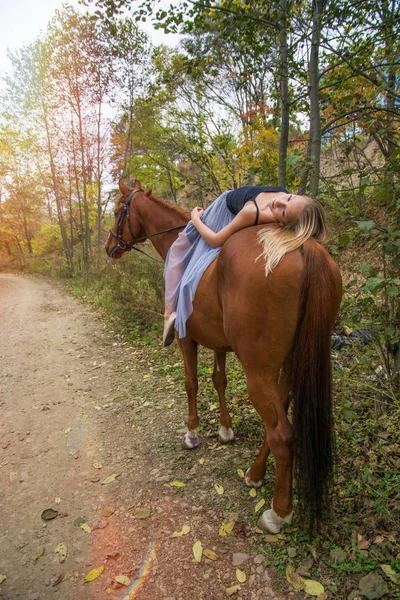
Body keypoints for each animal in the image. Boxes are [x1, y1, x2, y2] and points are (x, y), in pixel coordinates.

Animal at [104, 179, 342, 536]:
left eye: (121, 209)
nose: (109, 246)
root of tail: (305, 246)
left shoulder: (187, 338)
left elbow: (191, 382)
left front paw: (192, 433)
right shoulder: (218, 343)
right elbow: (219, 380)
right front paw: (225, 429)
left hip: (258, 370)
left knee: (281, 433)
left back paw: (277, 513)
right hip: (288, 365)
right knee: (280, 417)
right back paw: (255, 474)